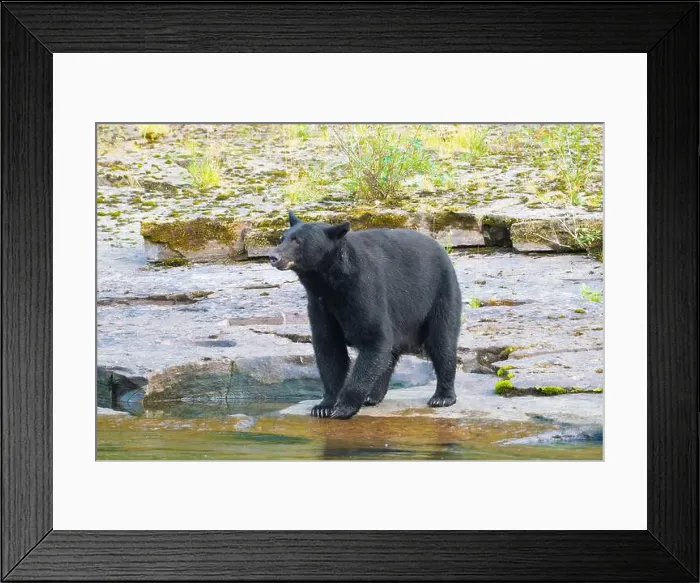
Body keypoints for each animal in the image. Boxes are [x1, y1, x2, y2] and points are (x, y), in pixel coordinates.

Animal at [269, 211, 462, 419]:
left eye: (298, 241)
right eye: (282, 238)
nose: (273, 256)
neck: (330, 282)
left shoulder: (364, 288)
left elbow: (374, 338)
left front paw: (344, 407)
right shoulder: (320, 304)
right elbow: (328, 347)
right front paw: (324, 406)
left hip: (440, 293)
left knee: (442, 341)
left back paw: (442, 397)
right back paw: (373, 395)